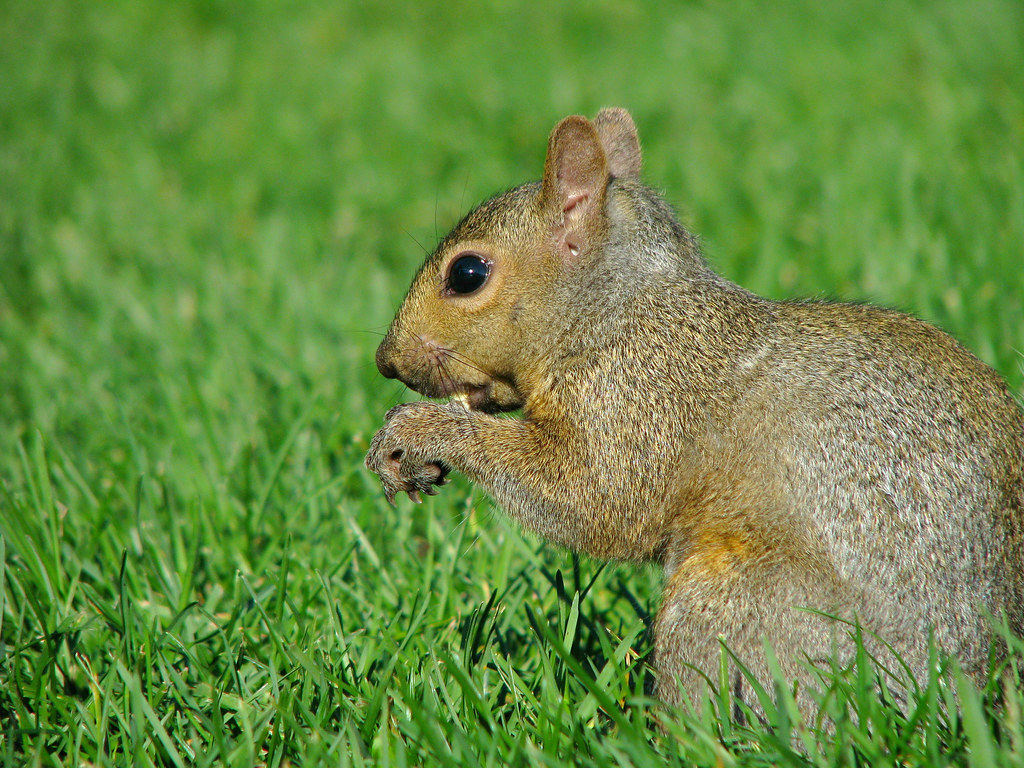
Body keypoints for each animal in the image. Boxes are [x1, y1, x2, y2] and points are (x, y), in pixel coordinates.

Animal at [365, 108, 1024, 714]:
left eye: (467, 274)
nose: (385, 359)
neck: (618, 314)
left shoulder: (642, 403)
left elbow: (592, 499)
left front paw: (423, 431)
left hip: (734, 604)